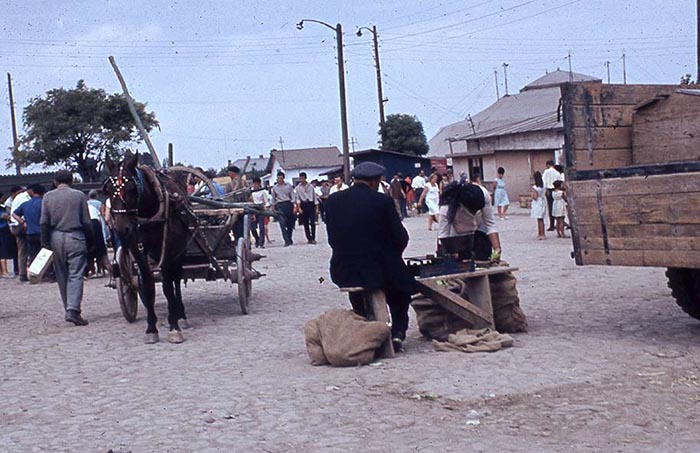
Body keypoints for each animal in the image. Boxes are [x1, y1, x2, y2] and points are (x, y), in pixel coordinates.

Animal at [102, 152, 190, 342]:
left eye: (132, 189)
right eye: (108, 191)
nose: (121, 229)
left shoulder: (167, 251)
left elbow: (168, 287)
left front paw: (174, 326)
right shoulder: (138, 250)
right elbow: (148, 285)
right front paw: (151, 328)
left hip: (178, 252)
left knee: (176, 279)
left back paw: (180, 315)